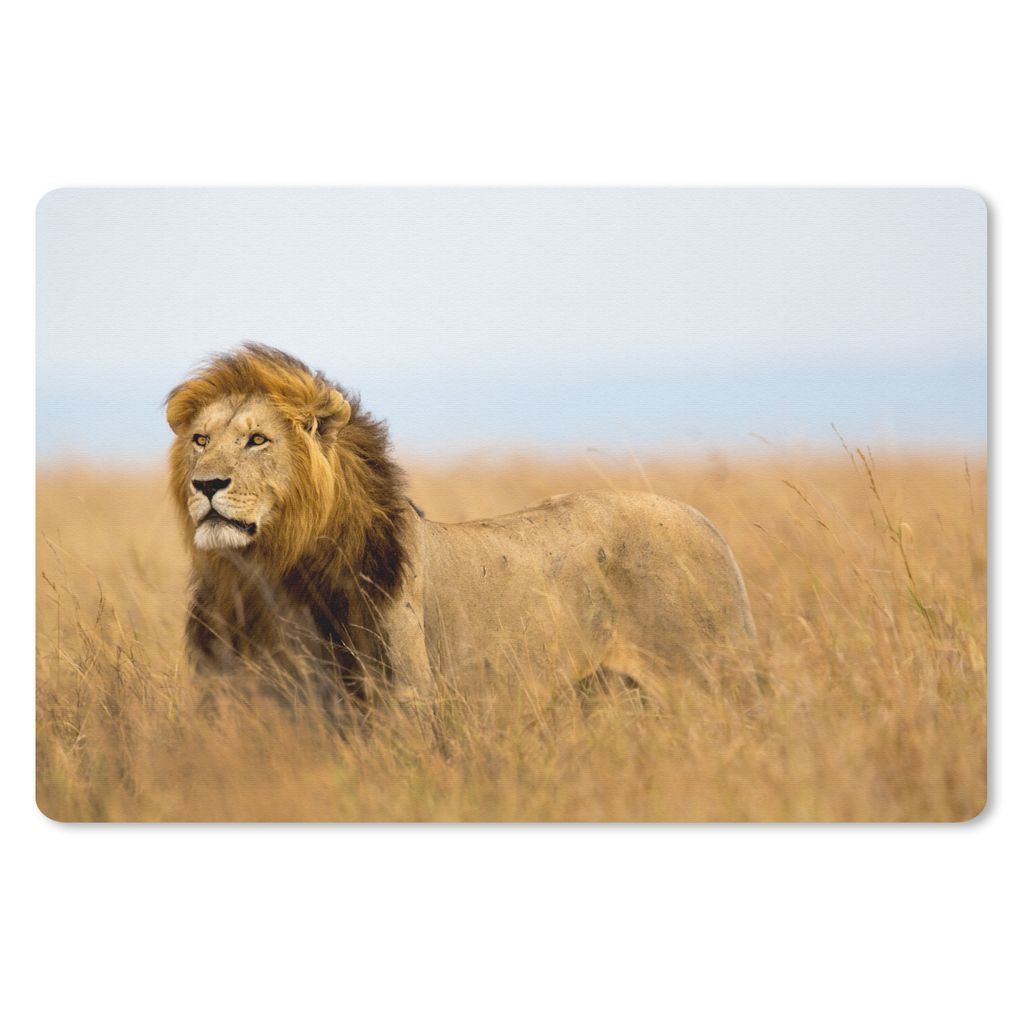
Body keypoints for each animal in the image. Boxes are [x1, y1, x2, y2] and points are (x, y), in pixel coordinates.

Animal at [166, 344, 760, 714]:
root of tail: (706, 523)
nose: (206, 484)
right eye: (200, 440)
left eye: (257, 440)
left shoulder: (403, 701)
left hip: (711, 683)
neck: (267, 574)